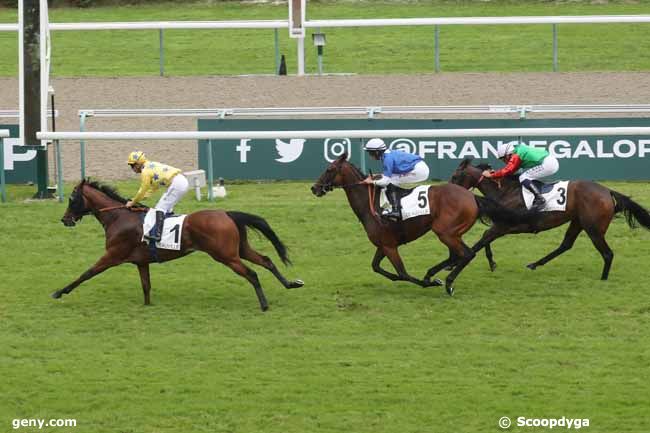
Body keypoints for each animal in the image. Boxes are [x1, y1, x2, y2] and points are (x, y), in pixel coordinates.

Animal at [52, 179, 302, 310]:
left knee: (251, 273)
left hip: (226, 255)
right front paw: (147, 306)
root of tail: (226, 213)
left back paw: (264, 304)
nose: (65, 219)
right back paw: (291, 284)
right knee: (266, 261)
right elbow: (146, 285)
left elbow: (86, 273)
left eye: (72, 199)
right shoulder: (141, 262)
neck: (119, 216)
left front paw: (59, 292)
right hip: (239, 249)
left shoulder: (112, 256)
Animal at [312, 153, 536, 294]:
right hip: (452, 232)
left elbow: (402, 273)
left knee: (466, 254)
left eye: (330, 169)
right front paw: (422, 280)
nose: (314, 188)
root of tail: (472, 197)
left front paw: (428, 283)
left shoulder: (389, 246)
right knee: (456, 255)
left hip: (444, 231)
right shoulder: (384, 244)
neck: (371, 204)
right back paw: (433, 274)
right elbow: (377, 267)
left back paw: (446, 282)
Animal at [450, 159, 650, 280]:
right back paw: (535, 264)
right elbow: (485, 239)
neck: (505, 191)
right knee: (566, 244)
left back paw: (603, 278)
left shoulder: (505, 225)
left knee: (607, 253)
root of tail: (607, 191)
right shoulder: (502, 226)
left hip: (593, 228)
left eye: (455, 176)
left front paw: (454, 264)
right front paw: (489, 263)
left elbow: (482, 239)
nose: (449, 191)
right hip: (578, 221)